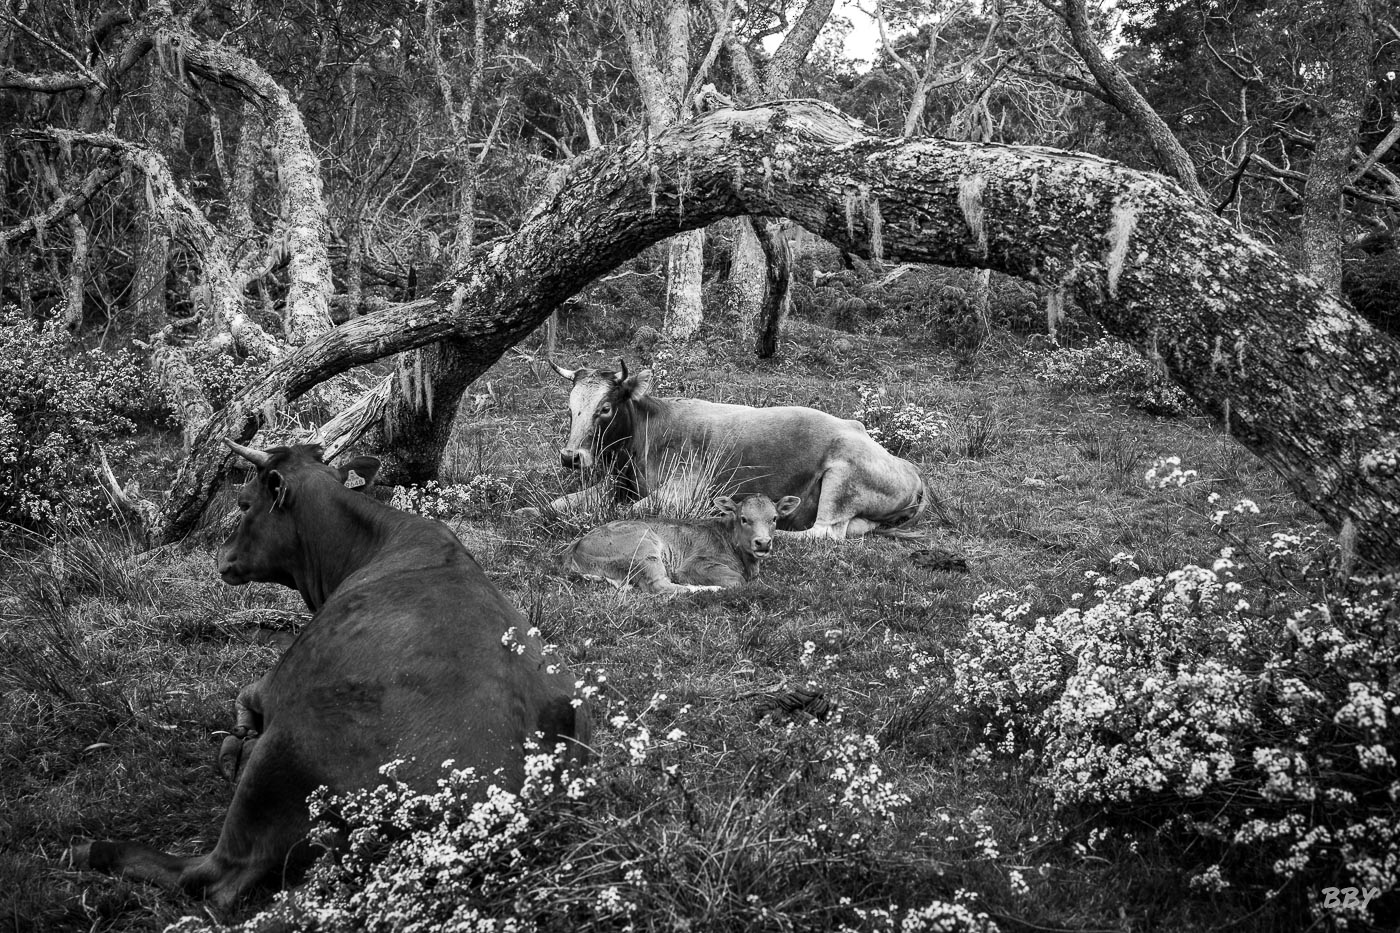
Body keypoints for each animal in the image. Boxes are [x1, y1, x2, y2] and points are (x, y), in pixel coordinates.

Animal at [69, 439, 590, 902]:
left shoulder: (277, 680)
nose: (222, 558)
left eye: (243, 503)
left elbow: (244, 693)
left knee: (212, 879)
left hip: (279, 758)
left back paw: (92, 849)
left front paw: (236, 739)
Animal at [546, 364, 929, 537]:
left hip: (841, 478)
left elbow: (631, 511)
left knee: (821, 534)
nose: (570, 457)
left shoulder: (683, 491)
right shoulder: (617, 483)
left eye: (605, 407)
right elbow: (558, 504)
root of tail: (909, 467)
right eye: (570, 407)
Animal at [560, 490, 800, 591]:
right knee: (662, 587)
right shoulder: (694, 565)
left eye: (774, 518)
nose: (763, 543)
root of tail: (575, 546)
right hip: (643, 549)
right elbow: (737, 580)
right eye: (743, 518)